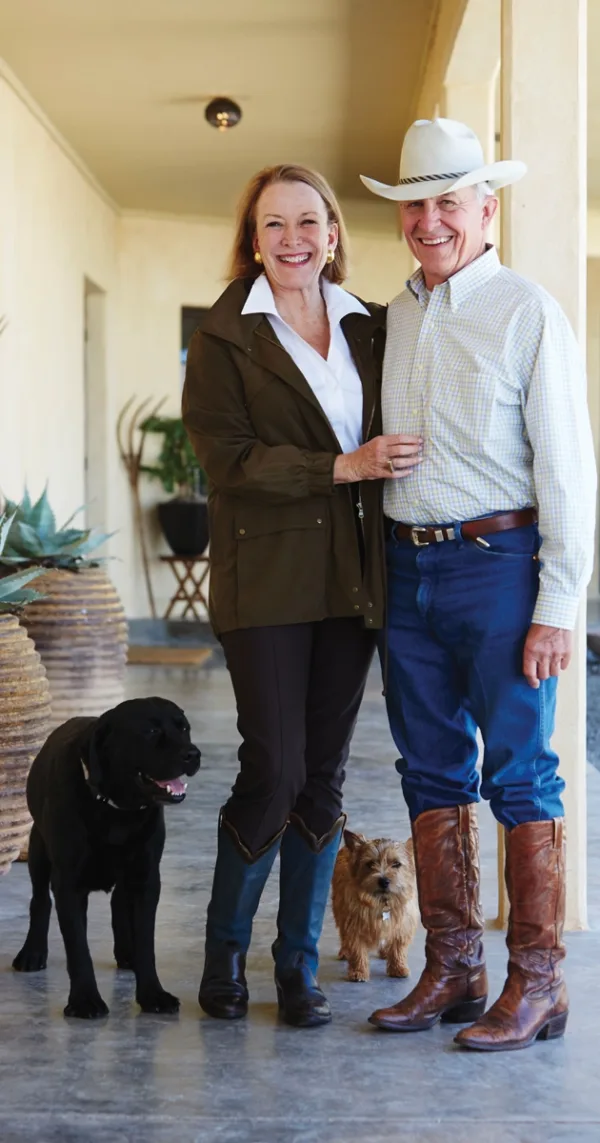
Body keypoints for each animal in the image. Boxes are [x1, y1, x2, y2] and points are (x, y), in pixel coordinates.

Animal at [13, 697, 201, 1019]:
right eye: (151, 731)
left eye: (184, 728)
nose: (193, 754)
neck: (116, 809)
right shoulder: (69, 884)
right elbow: (78, 947)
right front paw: (84, 999)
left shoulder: (146, 878)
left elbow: (146, 942)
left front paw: (152, 994)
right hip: (39, 849)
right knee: (40, 901)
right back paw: (33, 952)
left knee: (118, 904)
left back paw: (126, 952)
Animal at [332, 829, 418, 982]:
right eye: (370, 863)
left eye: (396, 864)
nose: (383, 881)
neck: (382, 902)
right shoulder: (353, 924)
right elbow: (357, 949)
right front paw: (358, 971)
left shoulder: (402, 925)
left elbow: (398, 947)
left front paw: (398, 968)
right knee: (343, 935)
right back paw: (345, 951)